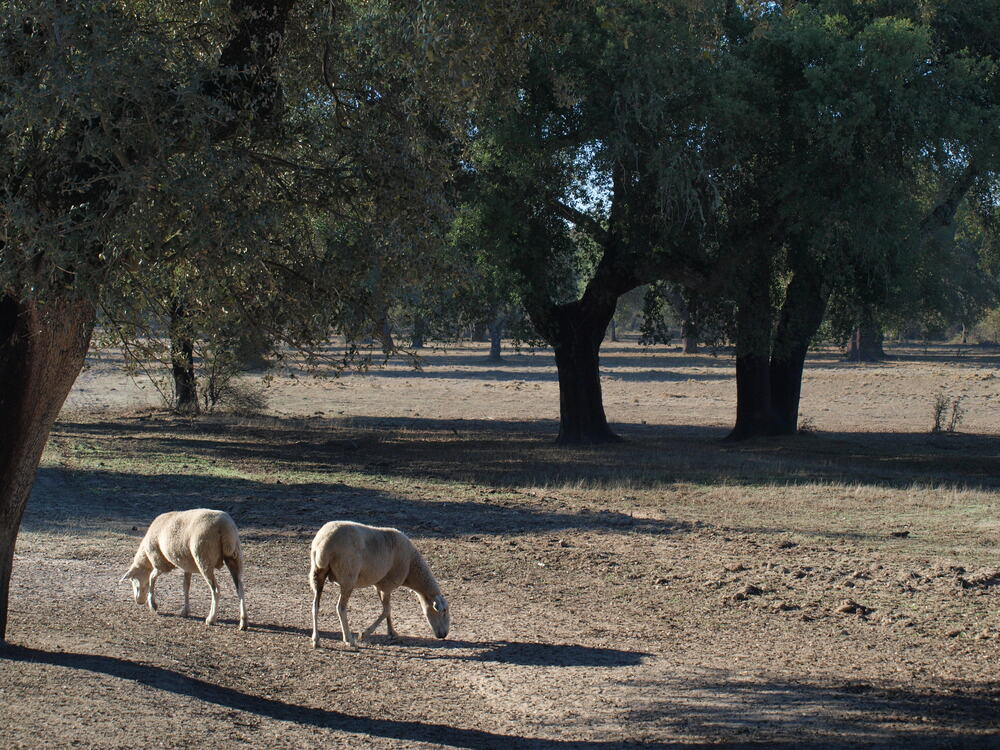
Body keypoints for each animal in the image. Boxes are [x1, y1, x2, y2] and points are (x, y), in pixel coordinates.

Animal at [120, 508, 248, 632]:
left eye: (132, 580)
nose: (138, 601)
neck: (146, 558)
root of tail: (224, 526)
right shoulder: (187, 566)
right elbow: (186, 586)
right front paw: (185, 611)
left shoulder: (161, 563)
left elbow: (151, 577)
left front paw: (153, 605)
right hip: (235, 557)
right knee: (240, 588)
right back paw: (243, 622)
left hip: (203, 558)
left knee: (216, 589)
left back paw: (211, 619)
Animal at [308, 520, 450, 648]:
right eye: (443, 611)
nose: (444, 635)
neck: (411, 568)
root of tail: (323, 544)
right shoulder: (387, 584)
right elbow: (387, 610)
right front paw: (364, 634)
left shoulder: (380, 585)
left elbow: (387, 610)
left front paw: (391, 632)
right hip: (347, 578)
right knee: (340, 608)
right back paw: (349, 639)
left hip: (317, 574)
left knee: (315, 605)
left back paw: (316, 640)